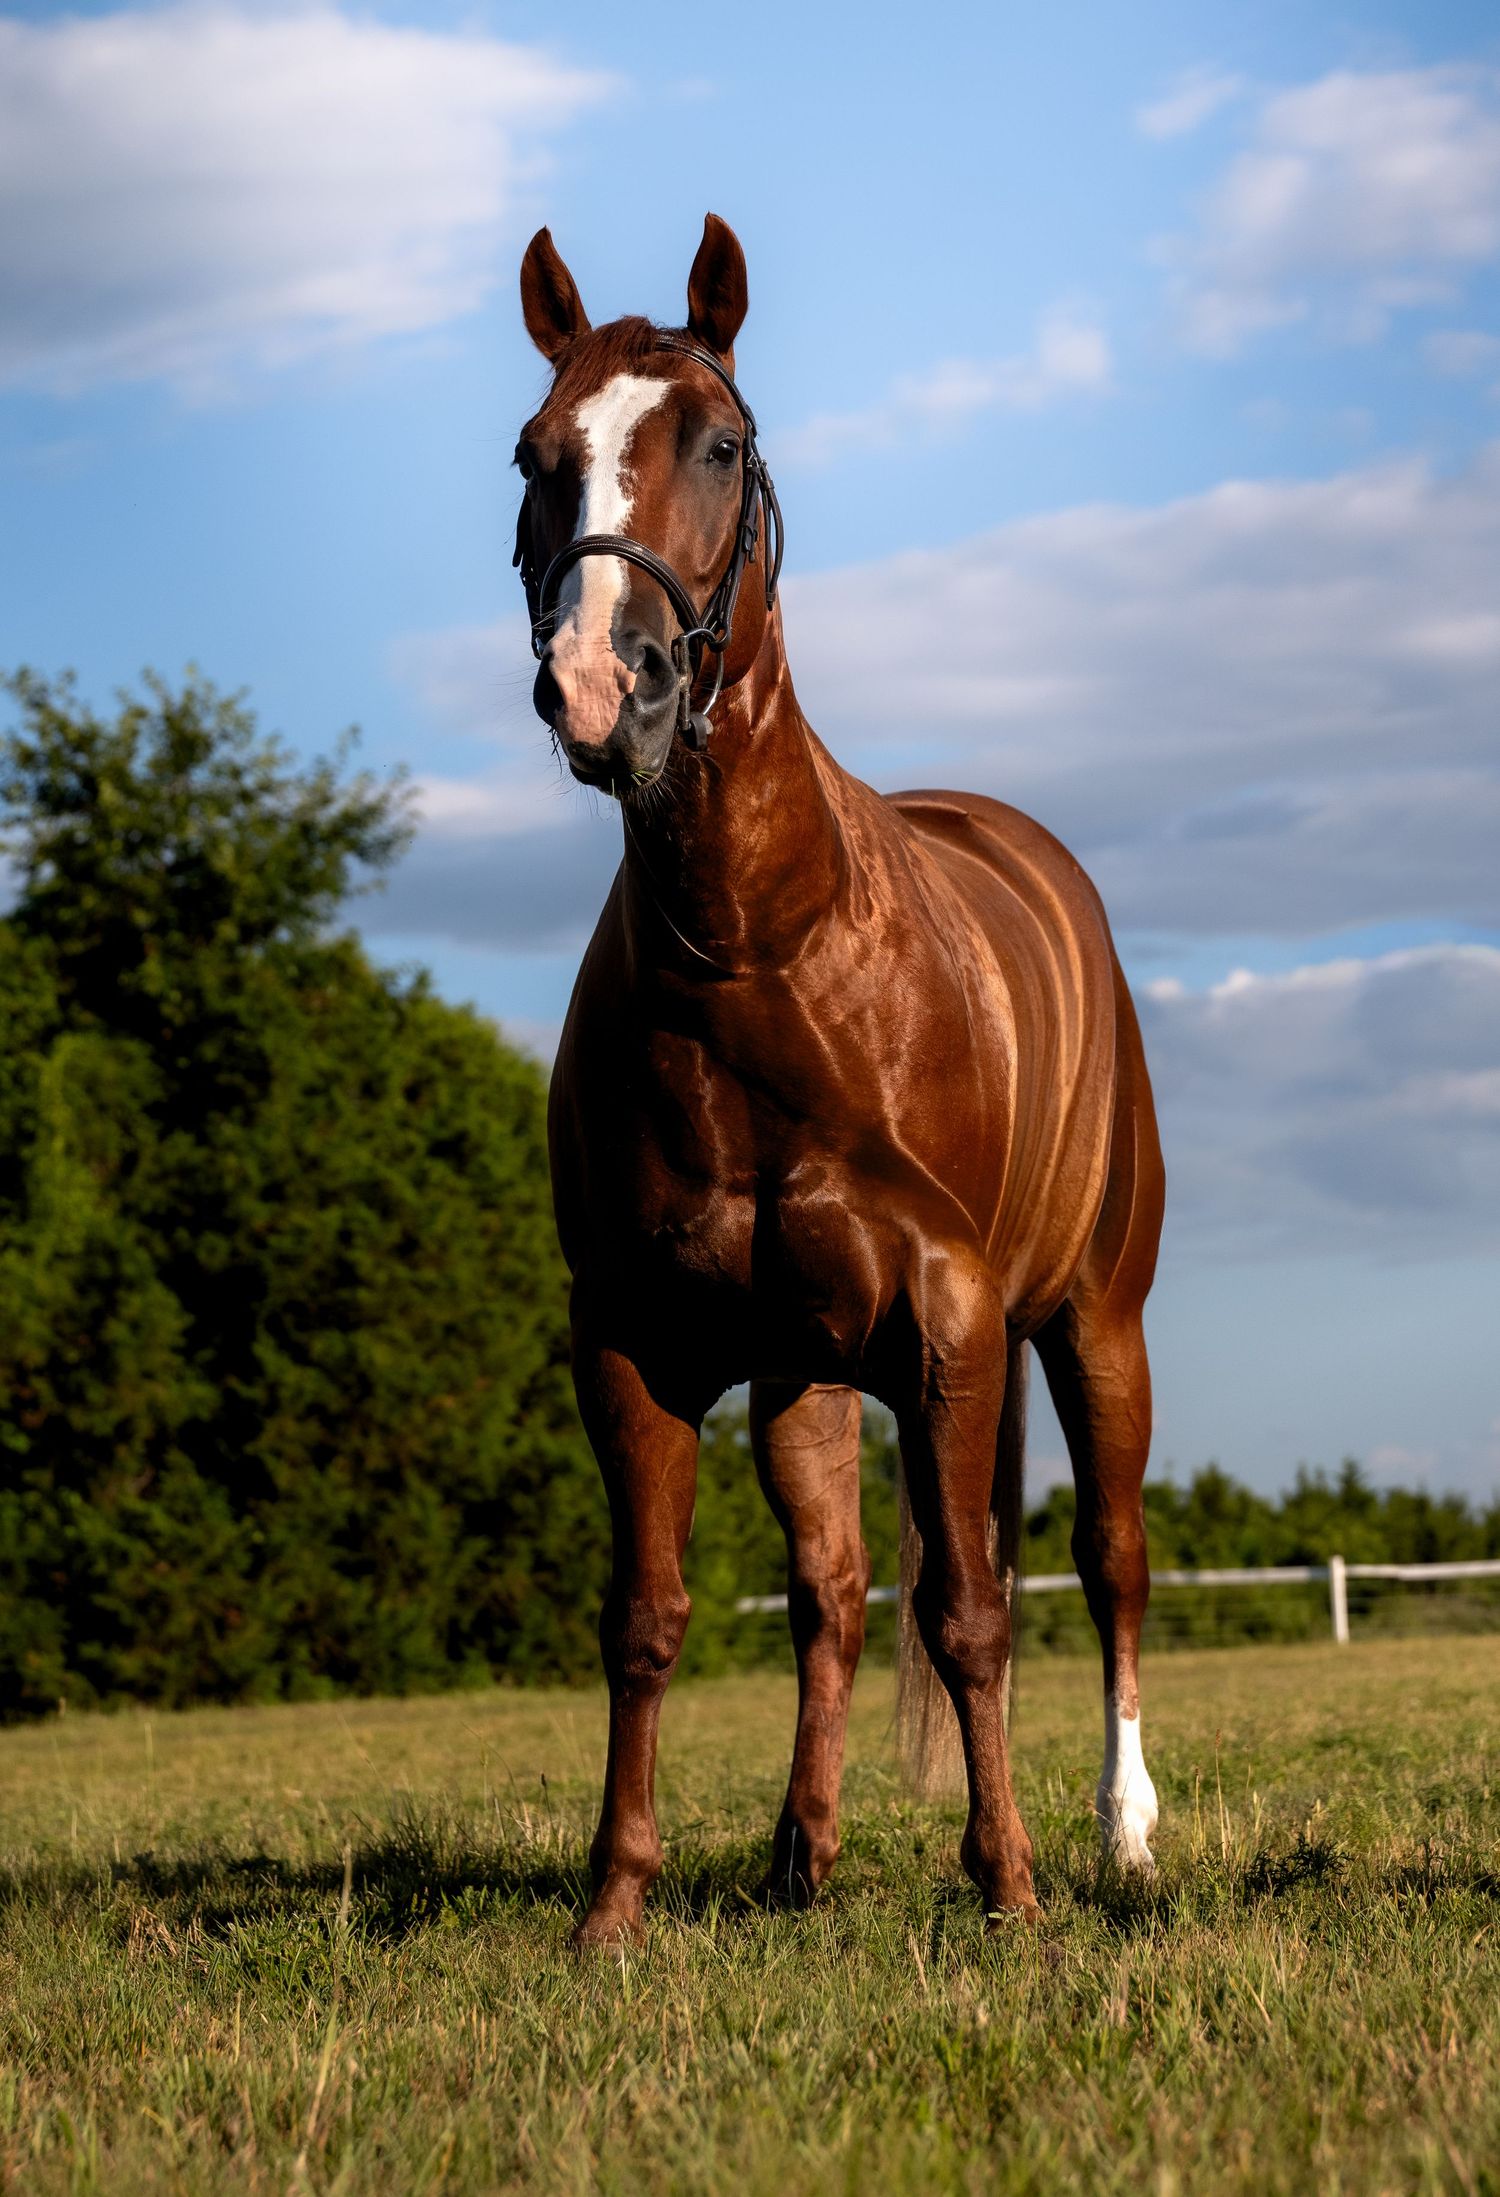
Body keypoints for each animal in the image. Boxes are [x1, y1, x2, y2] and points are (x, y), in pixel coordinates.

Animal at [513, 214, 1165, 1951]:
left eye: (722, 444)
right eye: (537, 456)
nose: (606, 685)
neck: (758, 948)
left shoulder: (948, 1323)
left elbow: (975, 1610)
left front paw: (1007, 1885)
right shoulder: (640, 1341)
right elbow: (654, 1615)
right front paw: (614, 1903)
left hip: (1094, 1324)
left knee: (1111, 1560)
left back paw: (1124, 1833)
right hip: (802, 1374)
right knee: (832, 1594)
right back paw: (802, 1850)